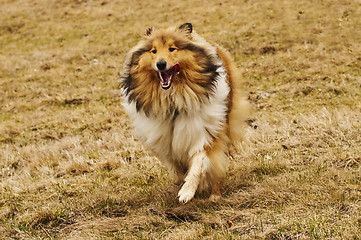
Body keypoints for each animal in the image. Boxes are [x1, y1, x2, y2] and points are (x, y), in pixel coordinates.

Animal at [118, 23, 248, 202]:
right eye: (153, 51)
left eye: (172, 48)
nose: (161, 64)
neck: (173, 104)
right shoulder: (163, 141)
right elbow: (176, 168)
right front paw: (183, 183)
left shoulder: (206, 132)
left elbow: (199, 162)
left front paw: (187, 192)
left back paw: (215, 195)